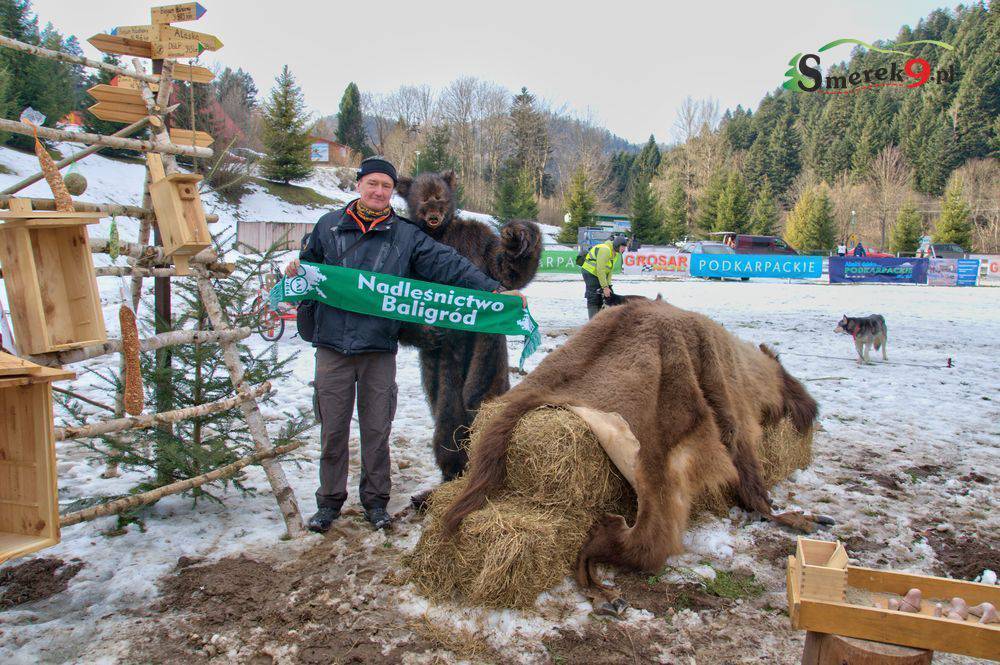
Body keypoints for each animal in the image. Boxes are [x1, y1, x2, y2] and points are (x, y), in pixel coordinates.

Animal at [395, 170, 543, 487]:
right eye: (423, 200)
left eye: (440, 197)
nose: (434, 214)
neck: (440, 235)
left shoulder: (478, 239)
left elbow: (504, 270)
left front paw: (517, 237)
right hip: (441, 369)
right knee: (447, 411)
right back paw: (452, 469)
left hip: (485, 357)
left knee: (482, 393)